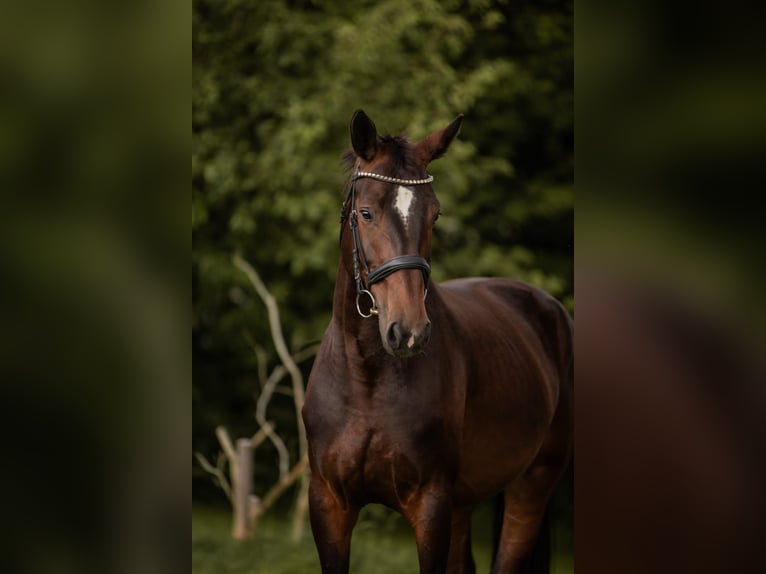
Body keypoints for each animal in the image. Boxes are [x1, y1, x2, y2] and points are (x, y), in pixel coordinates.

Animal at [304, 110, 572, 572]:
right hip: (465, 502)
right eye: (366, 212)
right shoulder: (328, 505)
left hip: (532, 485)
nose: (409, 332)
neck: (365, 380)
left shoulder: (430, 506)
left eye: (435, 216)